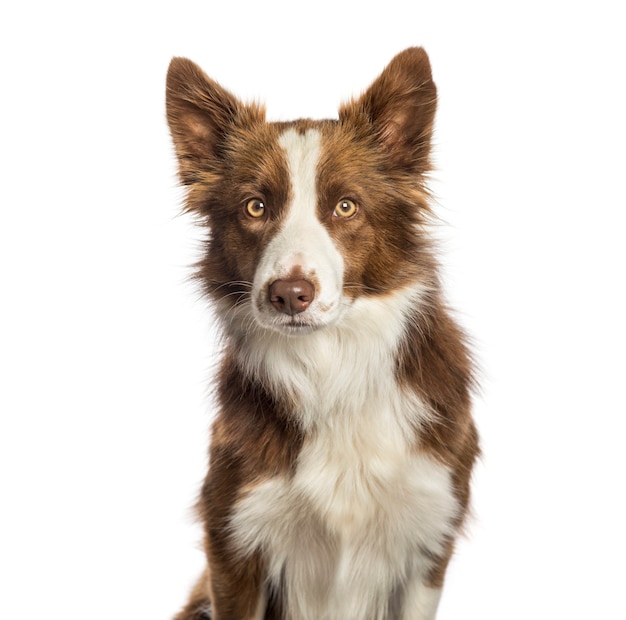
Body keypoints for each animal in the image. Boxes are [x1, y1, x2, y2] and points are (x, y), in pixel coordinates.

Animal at [166, 46, 478, 616]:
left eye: (345, 206)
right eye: (255, 206)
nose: (289, 294)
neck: (329, 367)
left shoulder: (427, 541)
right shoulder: (234, 539)